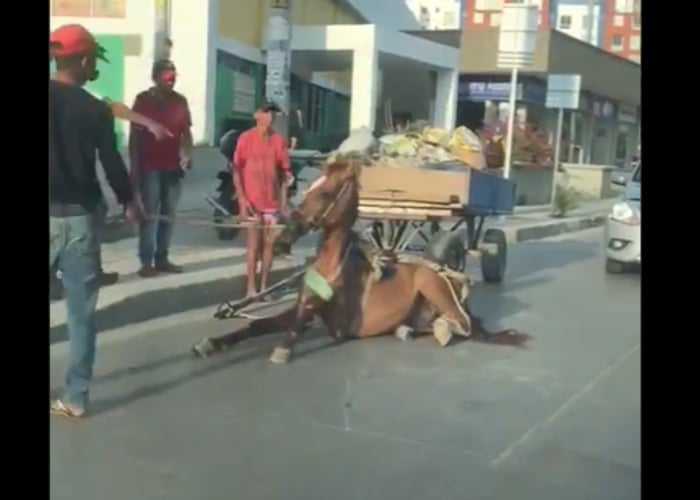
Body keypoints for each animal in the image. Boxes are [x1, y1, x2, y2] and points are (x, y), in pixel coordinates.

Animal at [191, 158, 532, 366]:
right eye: (309, 188)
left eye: (325, 192)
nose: (283, 236)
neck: (333, 266)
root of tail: (444, 271)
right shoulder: (303, 307)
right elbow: (259, 324)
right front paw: (212, 343)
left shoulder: (335, 325)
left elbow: (295, 328)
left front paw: (282, 349)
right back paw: (407, 329)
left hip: (431, 285)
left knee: (463, 324)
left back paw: (442, 329)